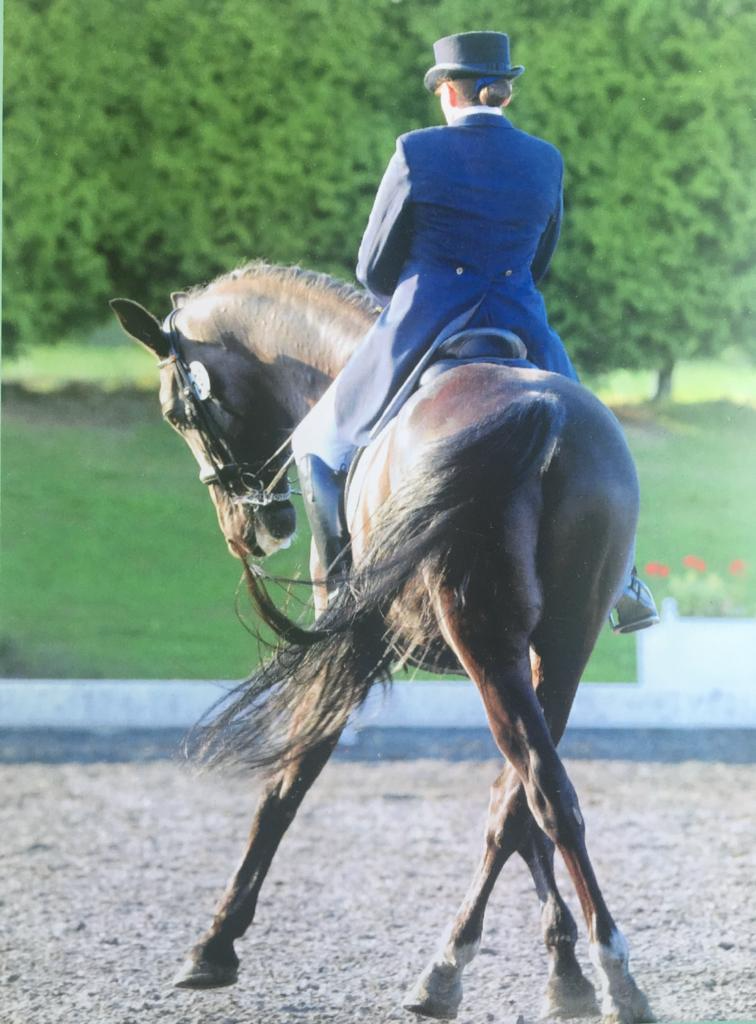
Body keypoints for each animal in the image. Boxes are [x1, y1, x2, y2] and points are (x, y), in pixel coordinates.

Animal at [111, 261, 653, 1024]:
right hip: (561, 644)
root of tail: (541, 411)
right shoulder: (528, 654)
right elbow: (511, 808)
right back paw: (542, 966)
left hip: (481, 640)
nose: (256, 528)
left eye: (177, 413)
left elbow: (291, 779)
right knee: (538, 795)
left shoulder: (356, 648)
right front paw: (562, 968)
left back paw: (484, 968)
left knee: (544, 791)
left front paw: (214, 944)